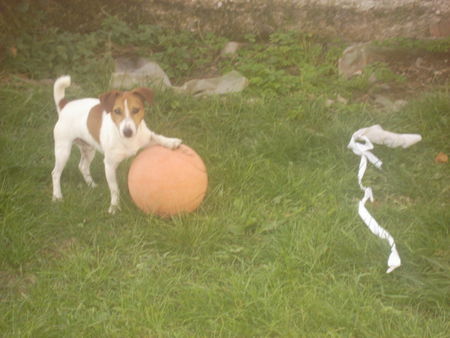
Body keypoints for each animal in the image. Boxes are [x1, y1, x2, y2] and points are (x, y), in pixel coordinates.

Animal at [51, 77, 181, 214]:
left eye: (136, 110)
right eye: (117, 111)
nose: (128, 132)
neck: (128, 141)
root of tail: (65, 105)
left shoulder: (146, 138)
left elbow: (157, 136)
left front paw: (171, 142)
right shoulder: (109, 165)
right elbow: (114, 189)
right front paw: (114, 206)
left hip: (89, 149)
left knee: (83, 167)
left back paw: (91, 185)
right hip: (63, 150)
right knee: (55, 173)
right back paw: (57, 196)